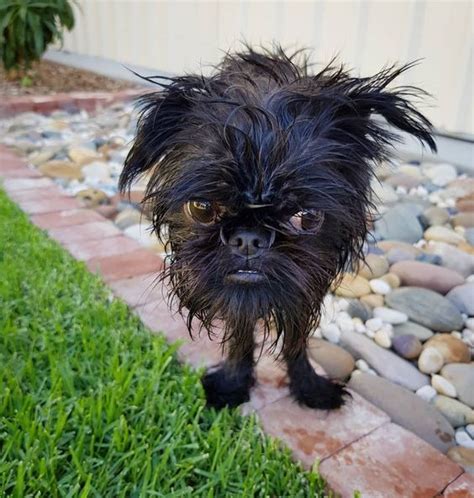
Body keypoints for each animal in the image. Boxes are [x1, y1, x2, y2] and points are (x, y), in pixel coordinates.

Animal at [119, 44, 436, 410]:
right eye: (202, 208)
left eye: (306, 217)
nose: (248, 239)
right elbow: (240, 335)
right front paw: (232, 384)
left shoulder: (307, 288)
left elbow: (297, 339)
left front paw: (309, 387)